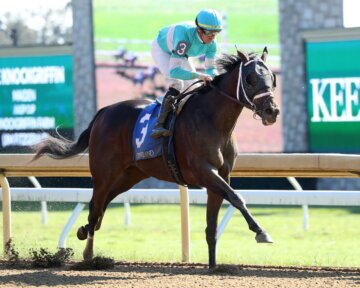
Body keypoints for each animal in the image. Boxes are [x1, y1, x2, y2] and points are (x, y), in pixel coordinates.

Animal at [33, 47, 278, 270]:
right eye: (249, 79)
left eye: (272, 79)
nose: (271, 111)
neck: (213, 121)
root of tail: (103, 112)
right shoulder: (204, 171)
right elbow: (237, 197)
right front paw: (261, 232)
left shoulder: (220, 175)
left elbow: (213, 224)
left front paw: (212, 266)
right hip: (104, 174)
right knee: (95, 208)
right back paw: (89, 254)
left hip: (128, 177)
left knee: (100, 208)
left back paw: (83, 231)